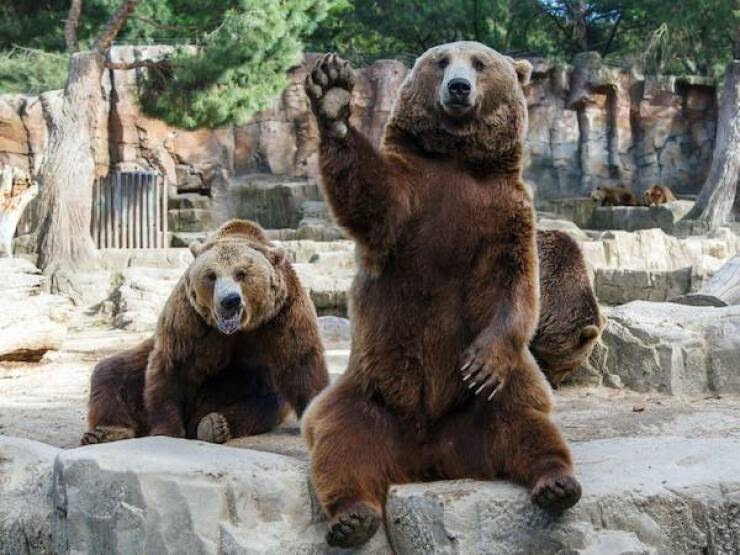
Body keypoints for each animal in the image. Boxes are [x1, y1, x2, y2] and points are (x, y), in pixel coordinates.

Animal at [81, 219, 329, 445]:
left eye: (241, 273)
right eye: (211, 275)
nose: (229, 300)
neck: (238, 330)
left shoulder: (283, 314)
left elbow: (302, 363)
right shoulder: (189, 319)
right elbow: (171, 365)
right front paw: (167, 430)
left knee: (262, 403)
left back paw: (214, 425)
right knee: (112, 373)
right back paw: (106, 431)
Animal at [302, 44, 582, 548]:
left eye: (480, 64)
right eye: (442, 61)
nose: (458, 88)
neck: (459, 161)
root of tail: (429, 459)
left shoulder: (505, 211)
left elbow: (515, 283)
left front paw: (482, 363)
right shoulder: (413, 196)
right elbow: (371, 196)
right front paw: (333, 95)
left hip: (482, 406)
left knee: (524, 420)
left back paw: (556, 483)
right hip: (370, 394)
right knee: (340, 439)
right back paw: (352, 518)